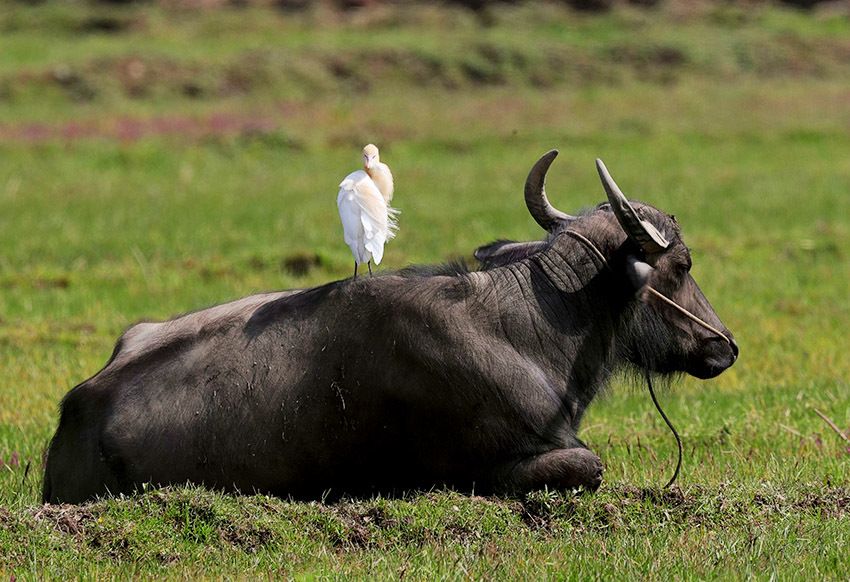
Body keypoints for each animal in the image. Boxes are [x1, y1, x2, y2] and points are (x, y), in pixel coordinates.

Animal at [43, 153, 736, 504]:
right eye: (681, 264)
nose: (723, 346)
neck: (528, 329)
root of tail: (79, 405)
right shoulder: (509, 460)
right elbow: (590, 465)